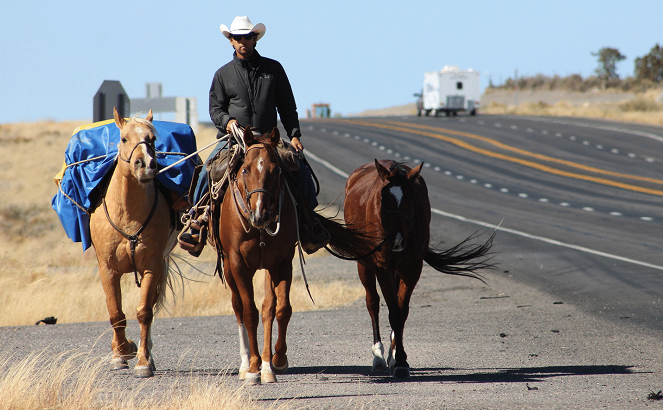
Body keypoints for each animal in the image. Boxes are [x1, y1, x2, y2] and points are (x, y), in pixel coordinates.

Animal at [89, 106, 176, 378]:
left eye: (153, 139)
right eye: (124, 138)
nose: (146, 165)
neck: (127, 213)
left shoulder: (152, 266)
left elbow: (144, 313)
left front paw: (143, 361)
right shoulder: (107, 270)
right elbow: (116, 314)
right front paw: (120, 353)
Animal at [218, 126, 374, 386]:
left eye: (275, 170)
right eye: (245, 169)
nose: (259, 215)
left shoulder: (281, 263)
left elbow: (279, 309)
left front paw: (275, 362)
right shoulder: (239, 264)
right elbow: (249, 311)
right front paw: (253, 368)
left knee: (268, 307)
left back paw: (265, 363)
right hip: (229, 268)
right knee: (238, 307)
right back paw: (246, 363)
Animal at [344, 160, 496, 378]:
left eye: (410, 198)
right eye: (383, 198)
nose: (396, 239)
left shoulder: (411, 269)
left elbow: (401, 312)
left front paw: (399, 359)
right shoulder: (382, 267)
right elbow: (393, 312)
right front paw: (397, 359)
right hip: (364, 264)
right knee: (372, 302)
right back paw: (378, 356)